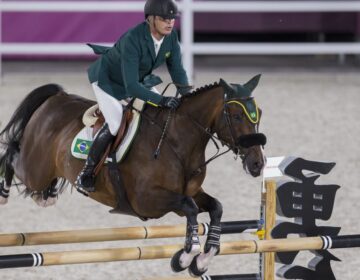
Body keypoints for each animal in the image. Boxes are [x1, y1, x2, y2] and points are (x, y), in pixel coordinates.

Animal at [0, 75, 264, 278]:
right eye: (237, 116)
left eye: (258, 114)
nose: (258, 164)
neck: (177, 142)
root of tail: (55, 98)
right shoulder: (147, 201)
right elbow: (189, 207)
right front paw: (185, 257)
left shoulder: (188, 194)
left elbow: (215, 207)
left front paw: (202, 260)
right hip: (34, 169)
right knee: (12, 154)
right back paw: (4, 193)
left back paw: (48, 195)